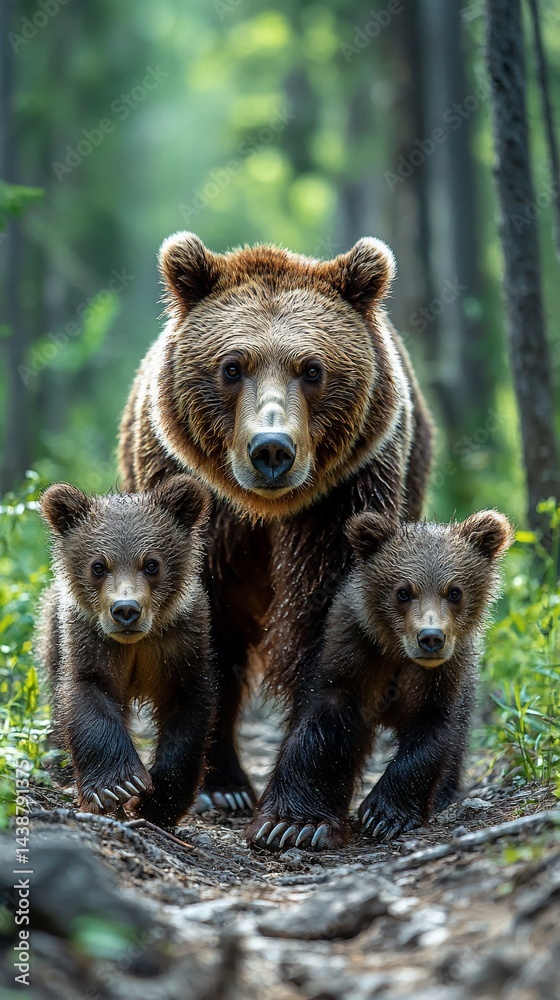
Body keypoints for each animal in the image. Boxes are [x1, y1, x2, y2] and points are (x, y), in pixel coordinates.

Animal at [38, 474, 215, 828]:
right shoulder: (90, 640)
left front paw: (159, 802)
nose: (125, 610)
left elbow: (187, 710)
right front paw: (117, 785)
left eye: (152, 564)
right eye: (98, 566)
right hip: (51, 631)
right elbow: (88, 694)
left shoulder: (180, 644)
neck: (136, 643)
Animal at [117, 231, 433, 822]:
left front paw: (296, 813)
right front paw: (219, 784)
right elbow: (204, 630)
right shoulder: (197, 506)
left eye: (312, 369)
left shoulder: (343, 502)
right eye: (231, 366)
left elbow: (329, 625)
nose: (271, 449)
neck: (266, 512)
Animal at [246, 510, 513, 851]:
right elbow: (319, 731)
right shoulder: (351, 657)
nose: (430, 638)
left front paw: (383, 815)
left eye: (455, 591)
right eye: (403, 591)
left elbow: (432, 734)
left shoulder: (439, 680)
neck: (397, 654)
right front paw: (292, 825)